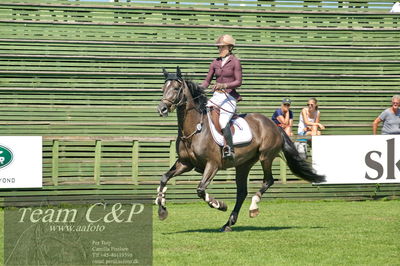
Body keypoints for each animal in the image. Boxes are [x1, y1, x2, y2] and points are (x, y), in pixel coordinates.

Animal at [155, 67, 324, 233]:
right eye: (163, 88)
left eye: (176, 88)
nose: (161, 109)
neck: (195, 129)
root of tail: (274, 125)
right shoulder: (185, 163)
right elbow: (164, 178)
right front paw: (162, 209)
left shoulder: (212, 164)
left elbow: (201, 189)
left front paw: (220, 205)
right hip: (243, 165)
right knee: (242, 192)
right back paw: (228, 223)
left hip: (266, 156)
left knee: (268, 180)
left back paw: (253, 207)